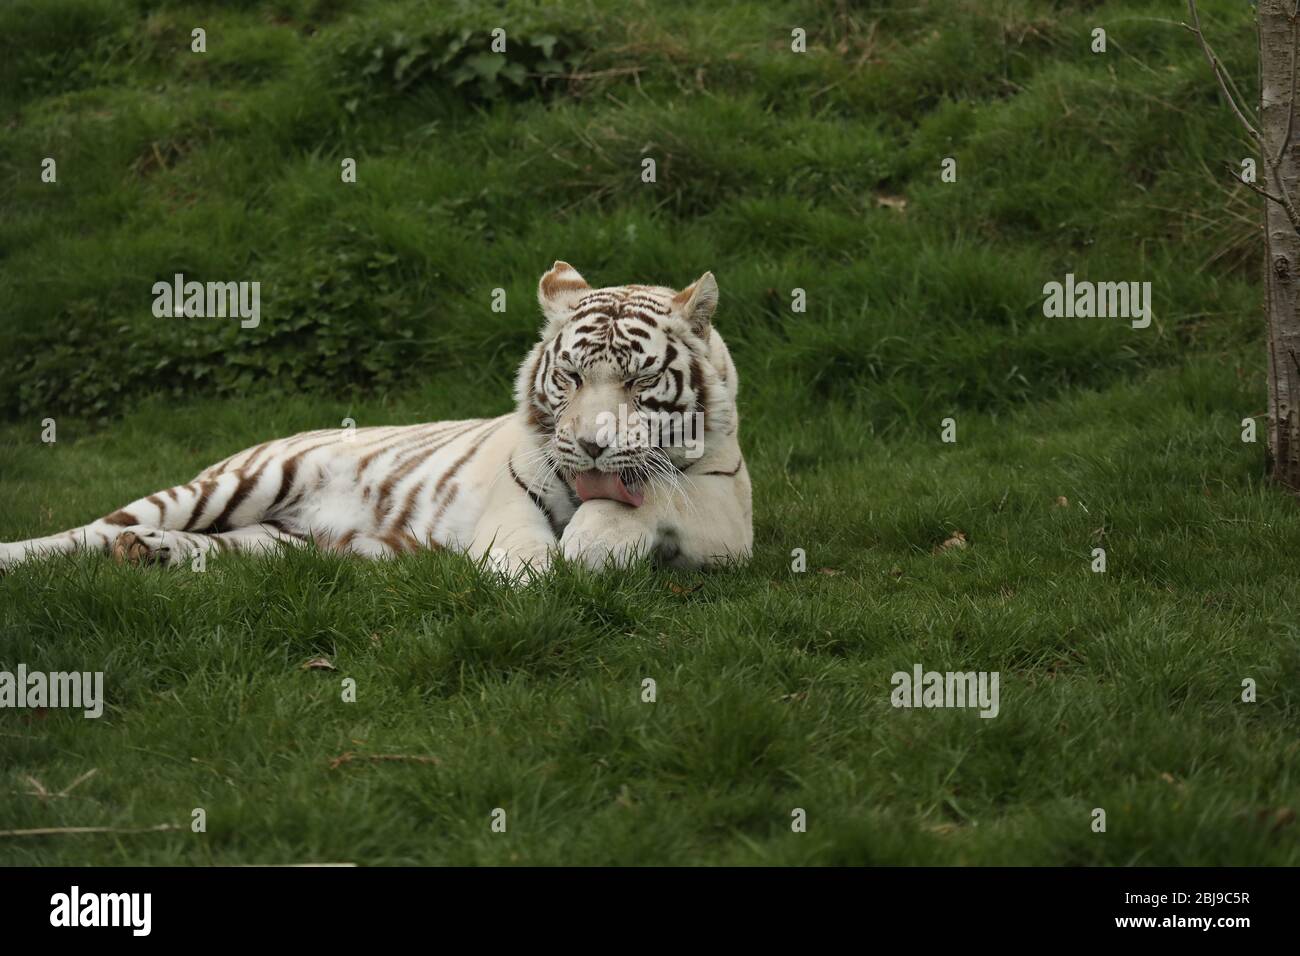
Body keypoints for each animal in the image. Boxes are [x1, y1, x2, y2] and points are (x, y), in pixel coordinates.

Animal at [0, 261, 754, 574]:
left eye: (640, 379)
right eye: (569, 377)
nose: (592, 448)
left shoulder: (728, 511)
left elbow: (659, 493)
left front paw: (597, 542)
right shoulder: (511, 496)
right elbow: (524, 543)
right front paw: (532, 572)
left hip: (278, 545)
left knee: (212, 550)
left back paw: (153, 553)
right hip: (236, 484)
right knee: (87, 532)